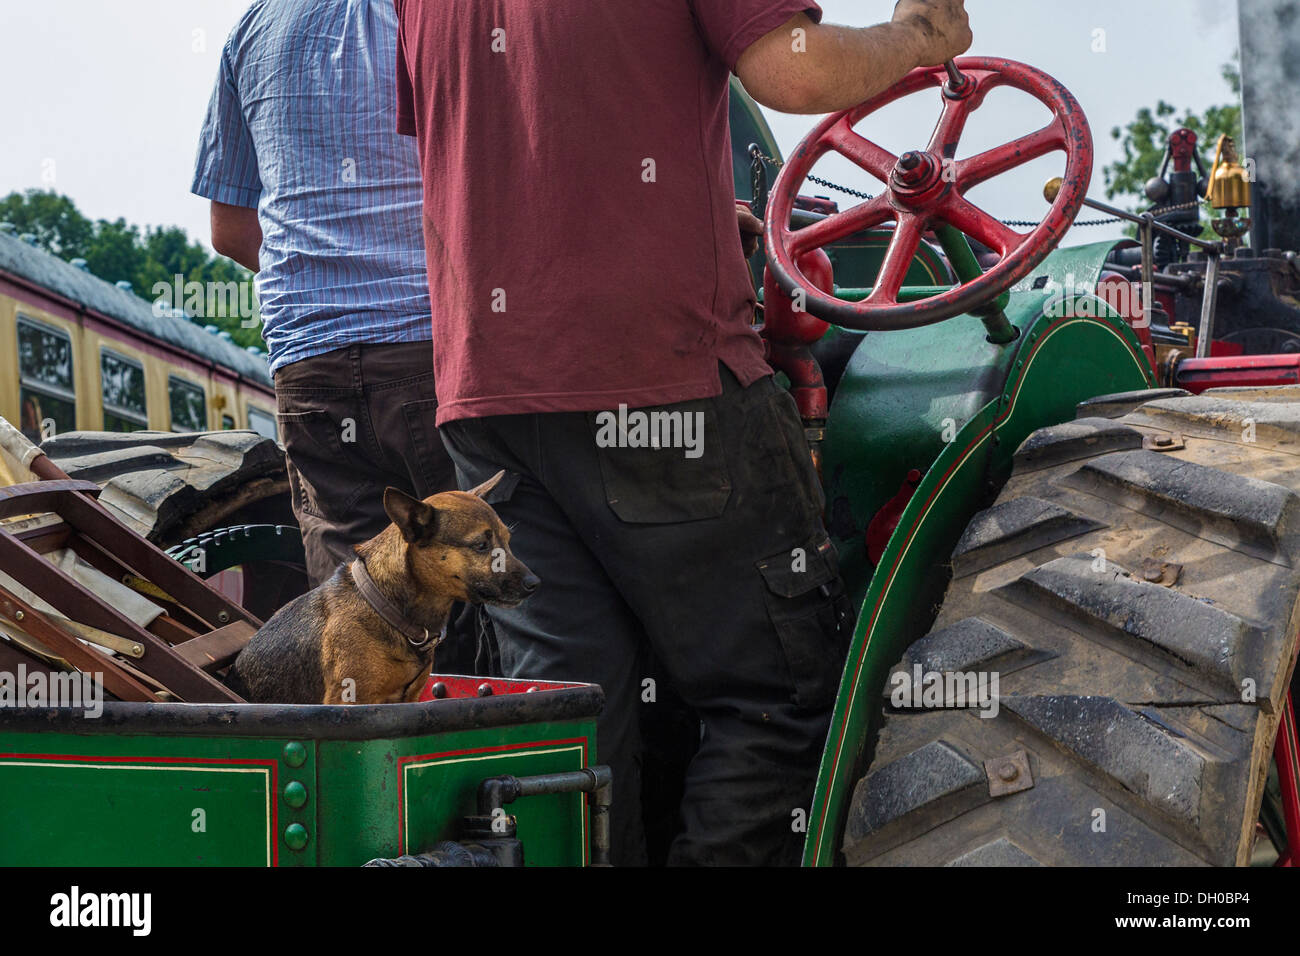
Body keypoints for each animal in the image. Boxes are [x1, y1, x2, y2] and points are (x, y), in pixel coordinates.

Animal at [228, 476, 538, 707]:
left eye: (508, 540)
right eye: (481, 546)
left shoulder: (409, 700)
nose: (535, 583)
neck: (387, 608)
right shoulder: (349, 702)